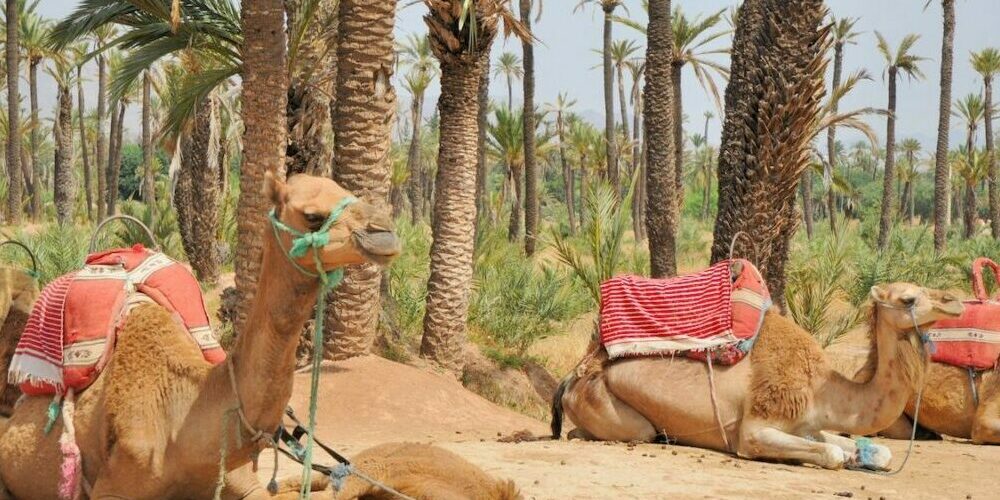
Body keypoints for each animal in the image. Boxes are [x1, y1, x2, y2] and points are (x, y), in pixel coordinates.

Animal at [551, 282, 965, 470]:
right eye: (909, 299)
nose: (955, 301)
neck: (822, 389)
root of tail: (574, 375)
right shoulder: (756, 429)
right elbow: (831, 453)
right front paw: (842, 458)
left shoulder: (807, 424)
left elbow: (878, 450)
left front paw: (861, 456)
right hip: (612, 408)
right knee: (624, 432)